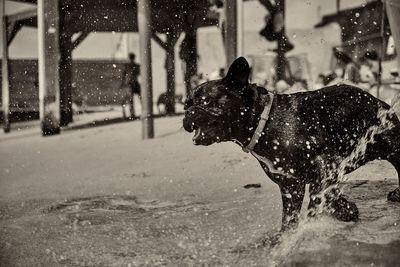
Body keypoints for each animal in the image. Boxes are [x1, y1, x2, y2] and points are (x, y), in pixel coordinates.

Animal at [183, 57, 400, 232]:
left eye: (205, 101)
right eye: (186, 103)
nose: (187, 113)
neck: (263, 122)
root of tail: (379, 101)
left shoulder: (323, 163)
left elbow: (317, 198)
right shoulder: (290, 185)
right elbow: (292, 215)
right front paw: (344, 209)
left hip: (392, 146)